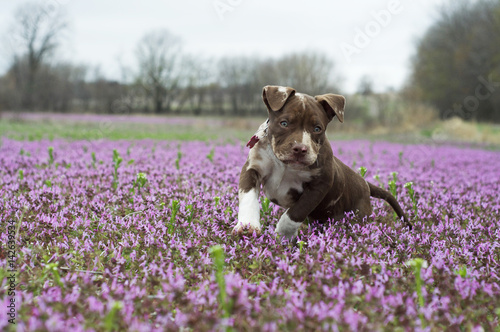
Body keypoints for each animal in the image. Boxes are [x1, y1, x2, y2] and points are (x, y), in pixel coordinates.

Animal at [232, 84, 412, 240]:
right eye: (284, 123)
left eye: (317, 128)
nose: (300, 149)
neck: (285, 165)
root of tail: (365, 183)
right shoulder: (252, 168)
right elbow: (248, 197)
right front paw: (247, 226)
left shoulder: (320, 184)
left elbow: (294, 213)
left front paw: (282, 236)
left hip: (358, 215)